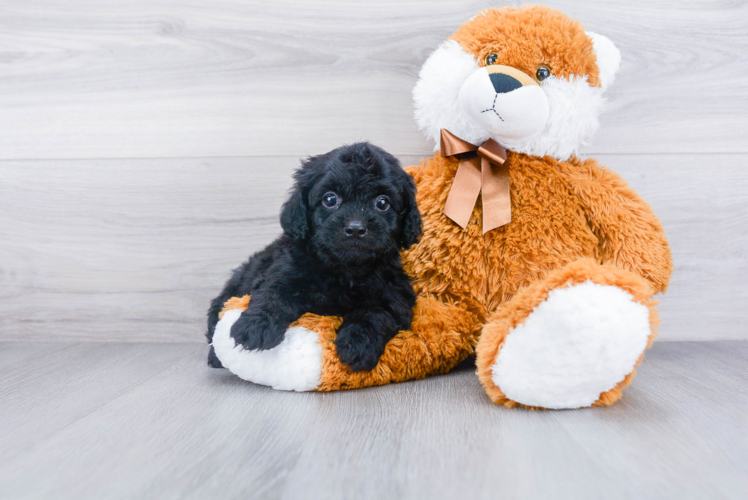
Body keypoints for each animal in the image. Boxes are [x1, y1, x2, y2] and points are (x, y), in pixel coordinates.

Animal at [206, 144, 420, 372]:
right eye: (330, 199)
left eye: (382, 203)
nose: (355, 228)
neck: (345, 269)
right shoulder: (285, 271)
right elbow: (273, 294)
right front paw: (255, 328)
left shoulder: (396, 293)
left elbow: (376, 312)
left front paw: (357, 344)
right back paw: (215, 356)